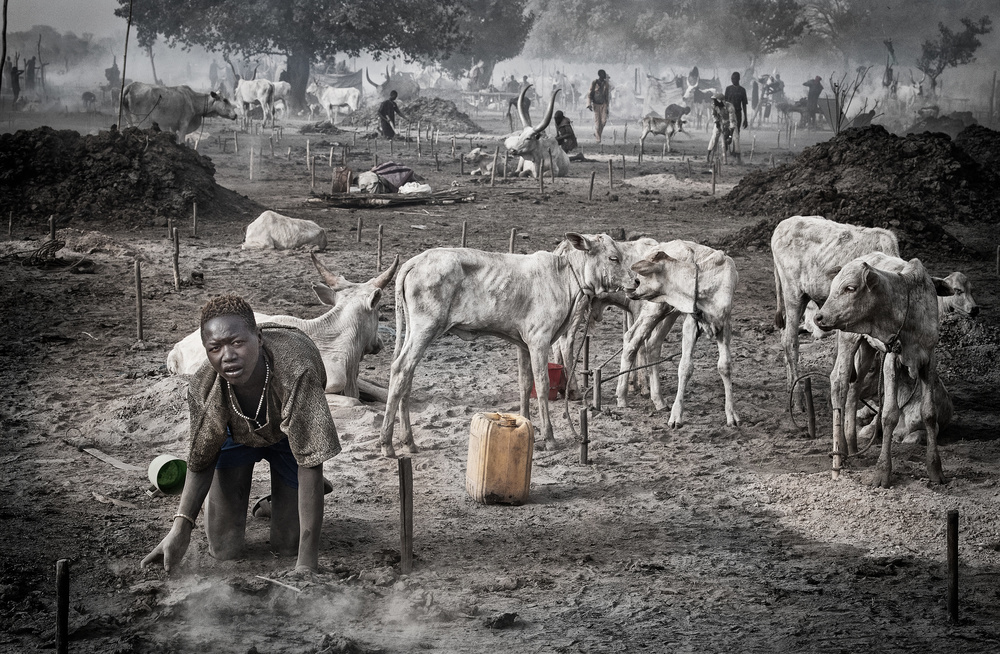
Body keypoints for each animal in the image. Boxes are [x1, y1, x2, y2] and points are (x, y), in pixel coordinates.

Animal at [378, 237, 628, 462]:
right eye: (614, 258)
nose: (634, 281)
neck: (563, 278)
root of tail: (415, 261)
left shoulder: (523, 343)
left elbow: (525, 383)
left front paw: (527, 425)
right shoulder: (539, 339)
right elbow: (542, 384)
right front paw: (549, 438)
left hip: (414, 330)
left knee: (407, 375)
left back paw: (408, 441)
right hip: (426, 328)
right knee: (401, 369)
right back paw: (387, 444)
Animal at [628, 242, 740, 430]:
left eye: (639, 278)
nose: (630, 287)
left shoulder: (725, 324)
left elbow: (724, 366)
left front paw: (731, 414)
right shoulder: (690, 324)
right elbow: (685, 367)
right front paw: (676, 416)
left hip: (669, 311)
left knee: (652, 344)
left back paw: (658, 400)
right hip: (656, 308)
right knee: (632, 339)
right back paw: (622, 398)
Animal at [808, 254, 948, 490]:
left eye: (850, 287)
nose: (819, 317)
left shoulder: (929, 359)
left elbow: (929, 413)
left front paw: (935, 470)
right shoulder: (892, 358)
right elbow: (889, 415)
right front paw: (882, 472)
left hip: (867, 348)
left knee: (854, 389)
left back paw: (853, 447)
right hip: (849, 338)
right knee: (839, 383)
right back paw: (840, 455)